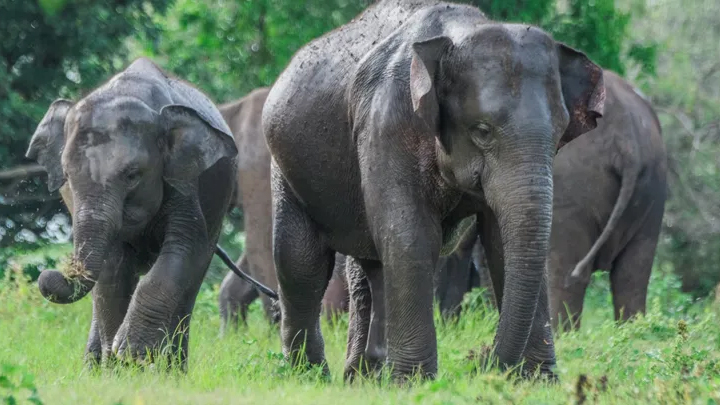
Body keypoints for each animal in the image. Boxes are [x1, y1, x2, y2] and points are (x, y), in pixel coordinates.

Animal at [25, 57, 238, 370]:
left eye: (132, 175)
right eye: (66, 175)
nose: (49, 273)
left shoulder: (184, 181)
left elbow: (186, 247)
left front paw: (133, 353)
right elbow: (113, 269)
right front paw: (120, 365)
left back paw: (172, 369)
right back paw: (96, 366)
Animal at [262, 0, 604, 380]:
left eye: (559, 134)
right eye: (482, 130)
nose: (481, 362)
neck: (459, 32)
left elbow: (500, 240)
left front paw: (538, 381)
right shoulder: (386, 123)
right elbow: (410, 234)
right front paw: (414, 382)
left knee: (367, 265)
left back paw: (364, 376)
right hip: (285, 167)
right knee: (300, 261)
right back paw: (310, 375)